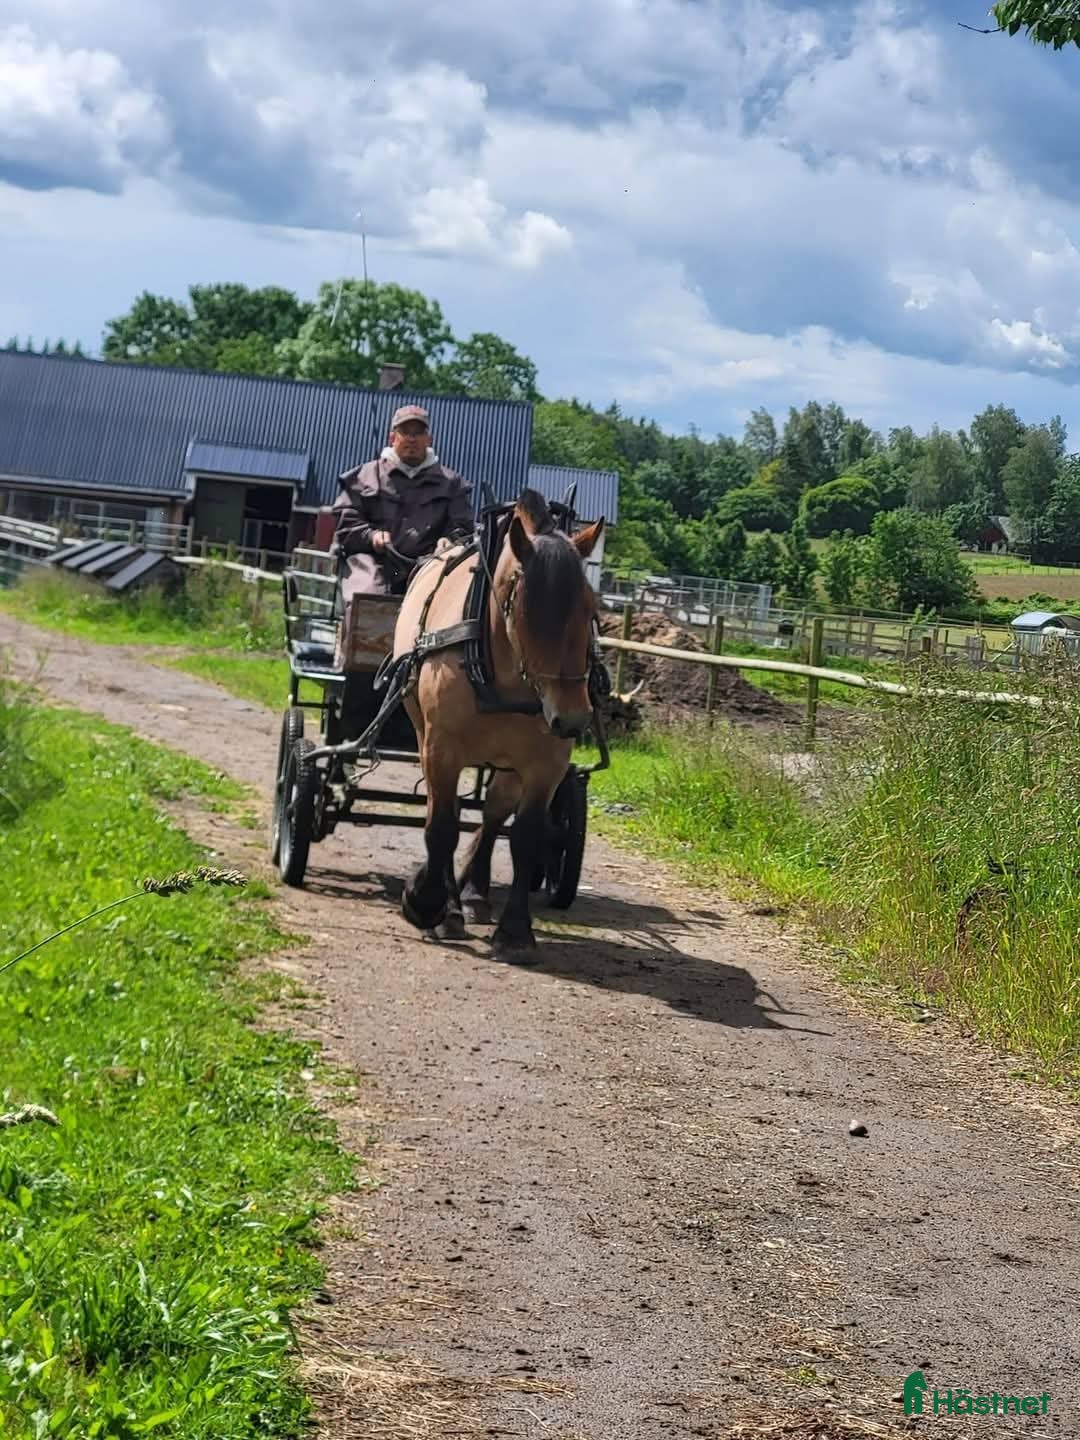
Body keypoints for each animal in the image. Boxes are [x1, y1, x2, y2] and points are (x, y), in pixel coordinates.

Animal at [391, 488, 604, 957]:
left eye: (591, 608)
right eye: (527, 609)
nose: (571, 717)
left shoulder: (546, 764)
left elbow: (526, 836)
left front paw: (515, 929)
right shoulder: (442, 748)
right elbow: (442, 826)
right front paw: (427, 904)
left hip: (507, 762)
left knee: (491, 814)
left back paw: (475, 893)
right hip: (424, 734)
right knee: (447, 811)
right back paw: (453, 904)